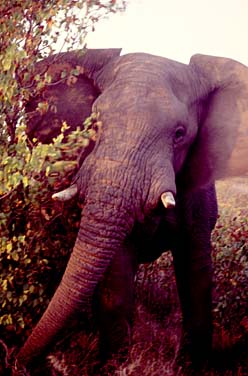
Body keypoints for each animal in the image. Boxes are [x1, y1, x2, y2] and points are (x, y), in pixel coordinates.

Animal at [17, 48, 248, 368]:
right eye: (94, 124)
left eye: (180, 134)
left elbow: (196, 274)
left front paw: (192, 366)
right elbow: (116, 278)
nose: (16, 362)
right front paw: (115, 367)